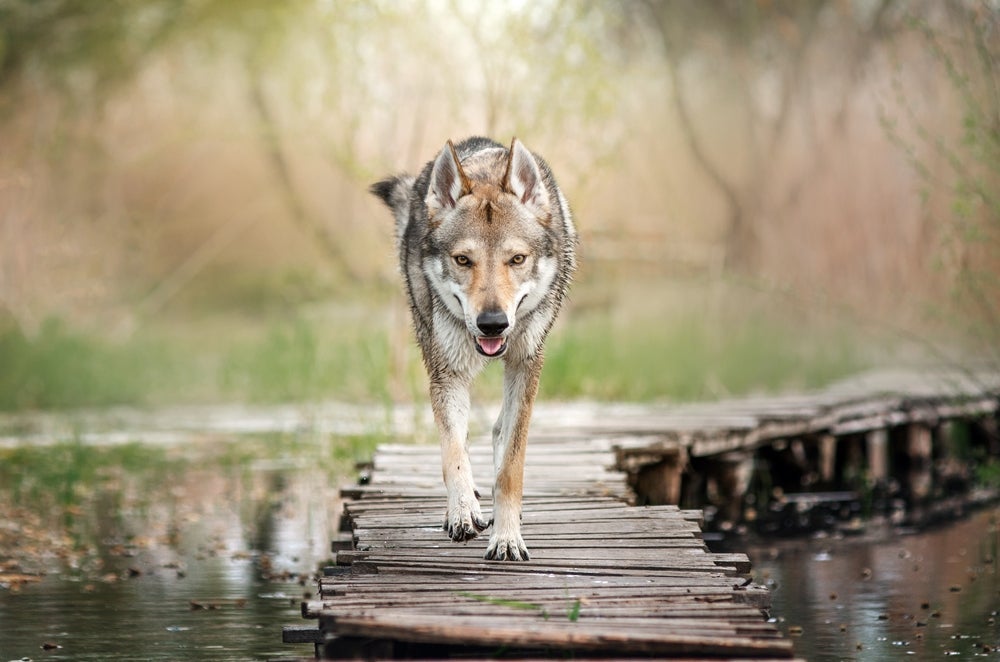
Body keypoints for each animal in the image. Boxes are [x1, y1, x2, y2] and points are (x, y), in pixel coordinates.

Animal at [370, 137, 576, 561]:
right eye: (463, 260)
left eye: (517, 259)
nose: (492, 323)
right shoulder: (446, 373)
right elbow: (453, 454)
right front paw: (464, 511)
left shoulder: (525, 365)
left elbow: (511, 466)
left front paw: (507, 537)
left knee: (498, 430)